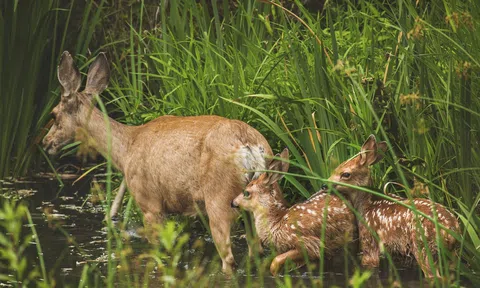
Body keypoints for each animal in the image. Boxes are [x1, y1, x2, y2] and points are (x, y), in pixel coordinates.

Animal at [41, 50, 276, 274]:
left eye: (53, 114)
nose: (45, 143)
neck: (126, 149)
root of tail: (248, 145)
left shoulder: (149, 203)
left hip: (219, 198)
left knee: (229, 259)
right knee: (257, 251)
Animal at [324, 136, 460, 278]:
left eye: (345, 174)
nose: (324, 185)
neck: (366, 205)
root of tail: (452, 229)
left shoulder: (369, 241)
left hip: (422, 246)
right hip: (451, 255)